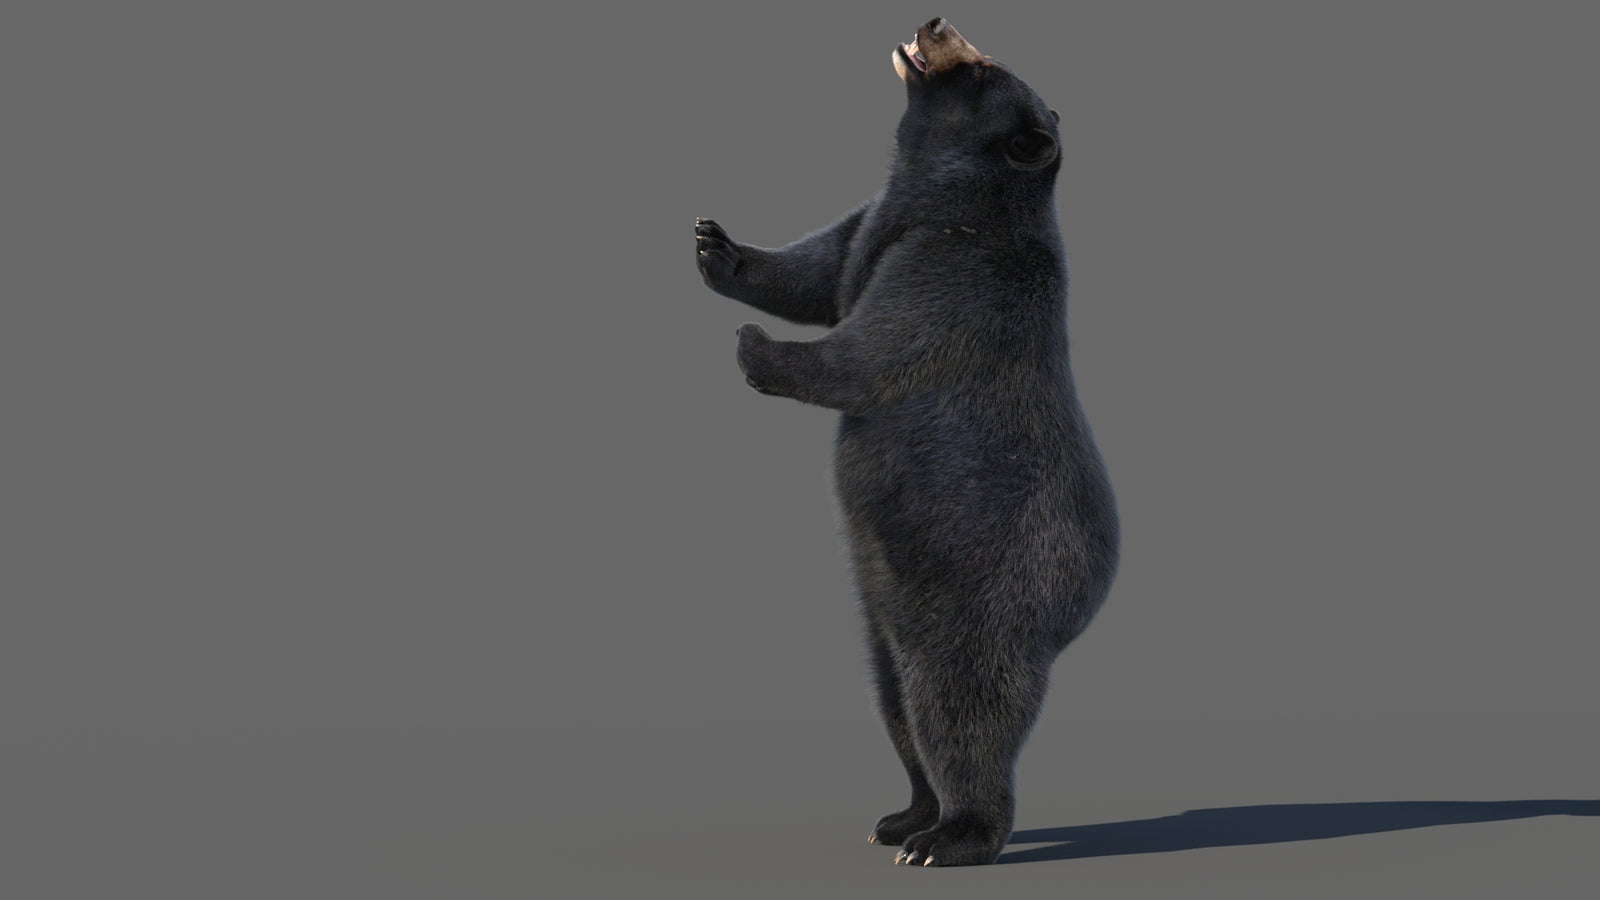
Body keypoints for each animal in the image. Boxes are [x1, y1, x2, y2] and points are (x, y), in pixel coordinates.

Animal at [694, 18, 1119, 867]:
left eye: (983, 68)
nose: (934, 23)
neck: (939, 198)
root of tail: (1083, 606)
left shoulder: (957, 271)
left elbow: (872, 350)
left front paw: (755, 346)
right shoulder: (873, 226)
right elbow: (818, 272)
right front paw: (716, 245)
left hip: (985, 595)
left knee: (957, 709)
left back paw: (952, 836)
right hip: (883, 610)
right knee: (893, 702)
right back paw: (902, 816)